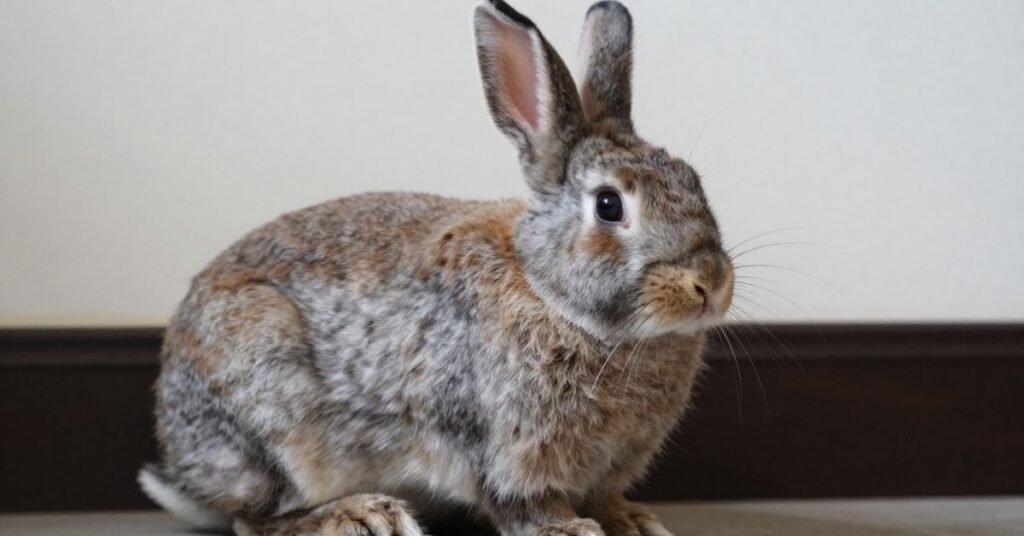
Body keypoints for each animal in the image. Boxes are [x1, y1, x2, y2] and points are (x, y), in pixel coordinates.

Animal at [138, 1, 735, 535]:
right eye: (609, 206)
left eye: (693, 181)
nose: (708, 283)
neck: (547, 293)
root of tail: (186, 470)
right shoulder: (497, 443)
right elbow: (522, 502)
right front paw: (569, 530)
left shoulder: (608, 464)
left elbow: (605, 496)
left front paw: (633, 522)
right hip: (273, 416)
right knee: (255, 519)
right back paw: (364, 516)